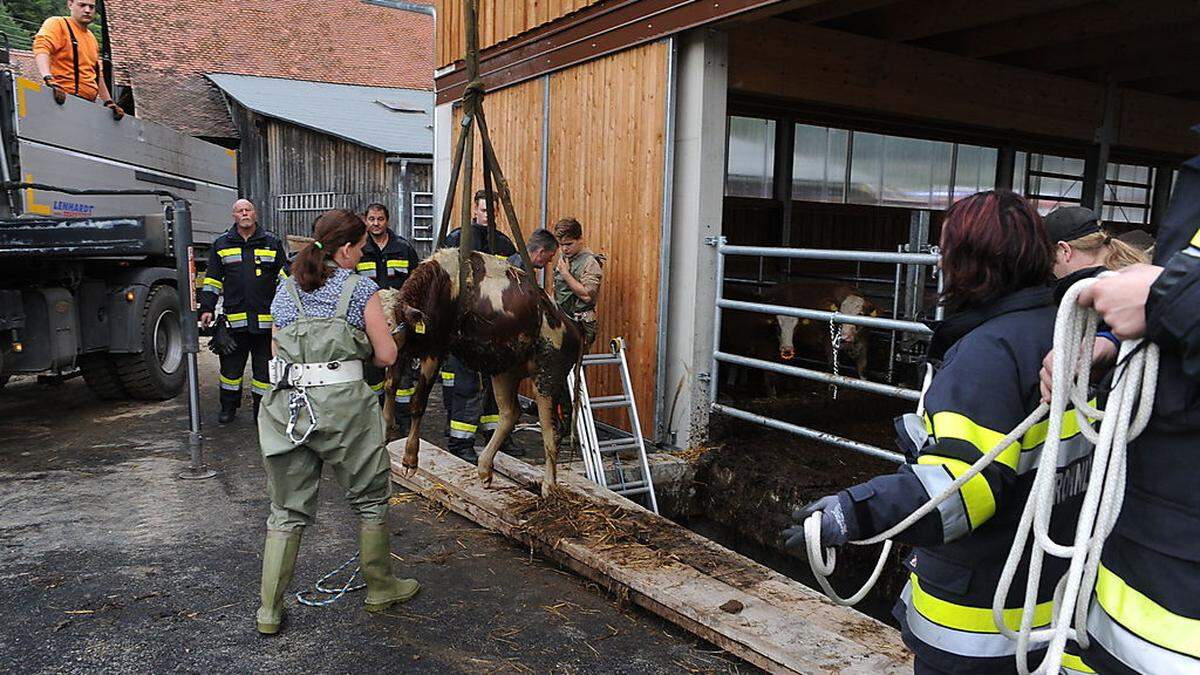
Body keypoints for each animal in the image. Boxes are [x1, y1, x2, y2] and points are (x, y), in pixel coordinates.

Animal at [374, 247, 580, 494]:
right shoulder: (403, 351)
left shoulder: (436, 350)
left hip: (547, 379)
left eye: (389, 325)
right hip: (505, 372)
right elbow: (390, 387)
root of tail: (573, 329)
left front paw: (410, 459)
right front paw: (385, 430)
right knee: (510, 414)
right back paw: (484, 468)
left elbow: (417, 403)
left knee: (551, 430)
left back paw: (549, 486)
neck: (439, 286)